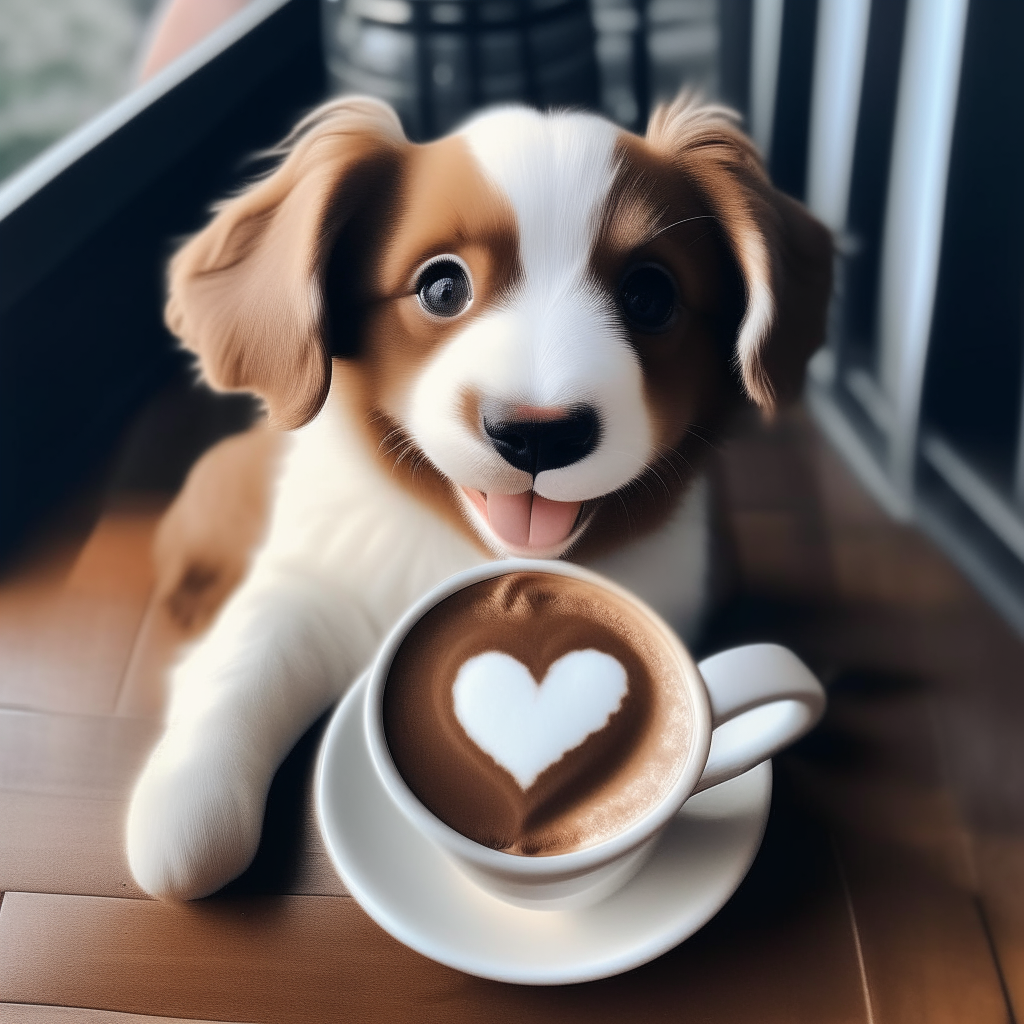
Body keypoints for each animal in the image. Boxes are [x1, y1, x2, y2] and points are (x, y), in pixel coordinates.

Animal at [128, 94, 831, 897]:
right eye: (441, 286)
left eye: (651, 296)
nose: (538, 435)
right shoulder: (317, 578)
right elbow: (246, 666)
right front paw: (187, 803)